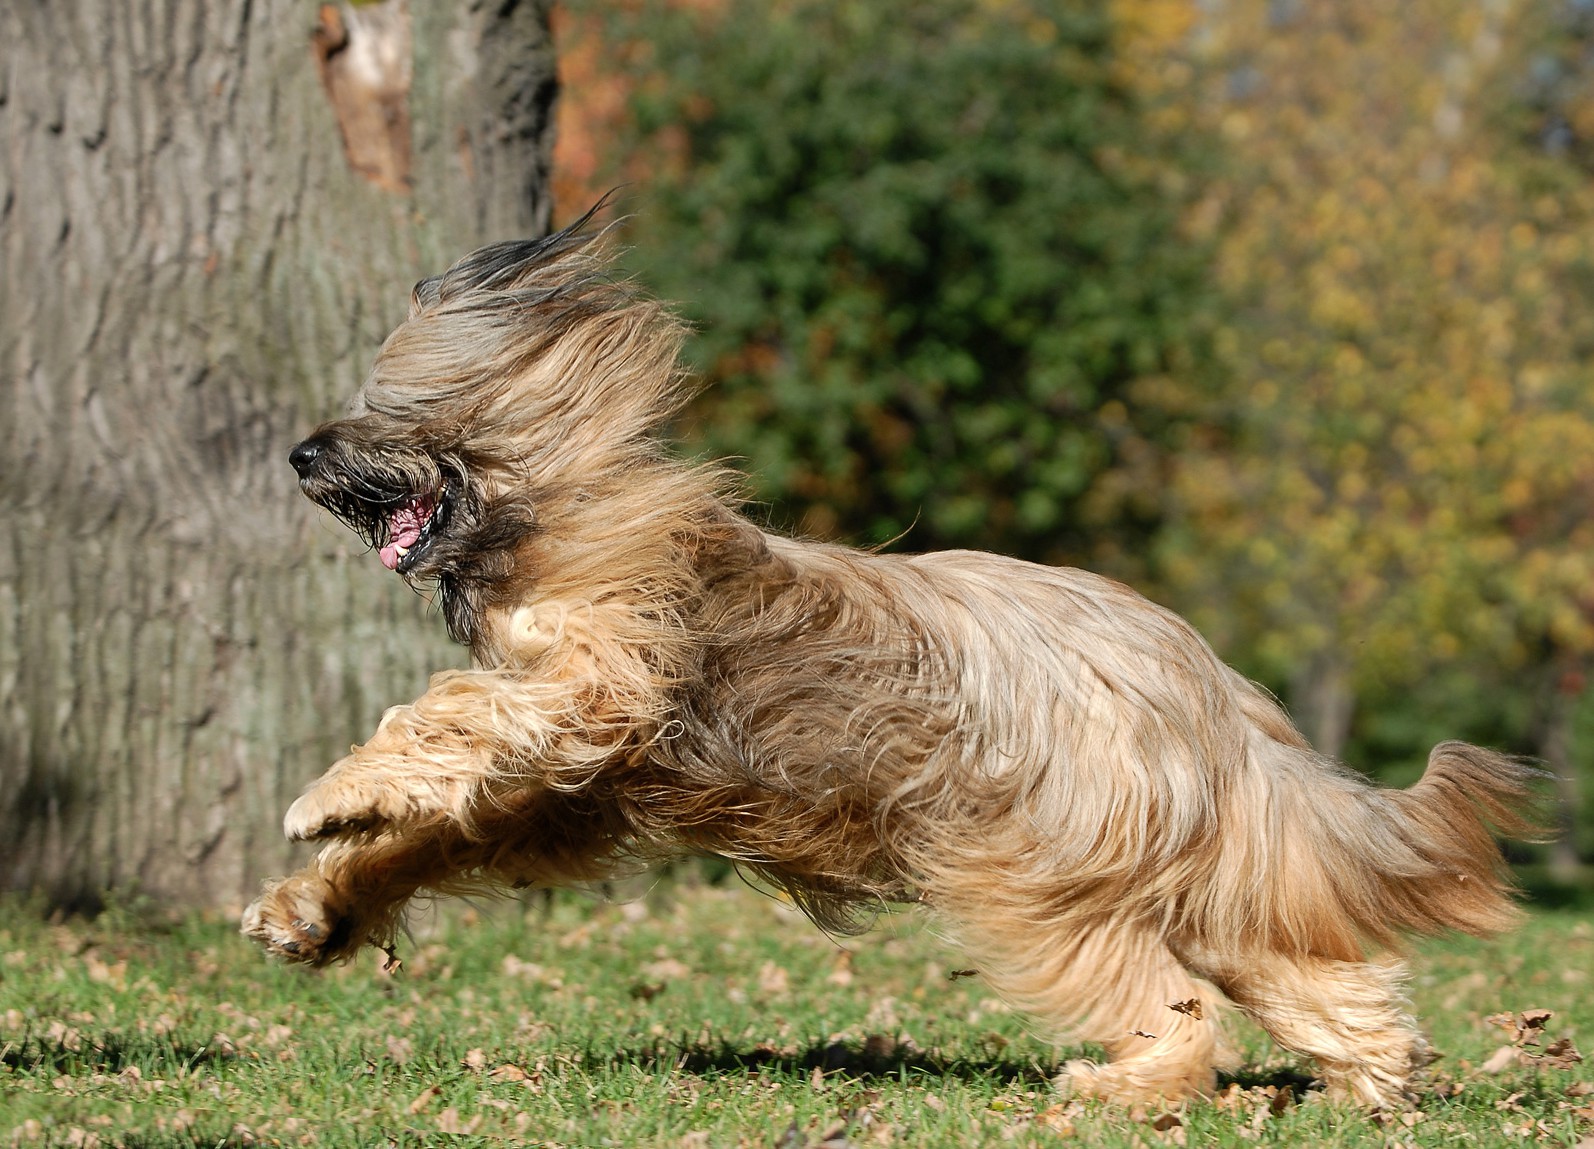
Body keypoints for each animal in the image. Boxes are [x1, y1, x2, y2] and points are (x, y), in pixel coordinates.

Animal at [245, 219, 1542, 1109]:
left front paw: (329, 798)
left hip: (1021, 868)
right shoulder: (575, 792)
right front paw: (315, 908)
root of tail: (1200, 684)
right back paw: (1373, 1071)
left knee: (1171, 1004)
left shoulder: (596, 681)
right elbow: (439, 834)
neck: (559, 516)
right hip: (1178, 865)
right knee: (1288, 966)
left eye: (396, 405)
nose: (302, 457)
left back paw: (1124, 1089)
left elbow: (447, 713)